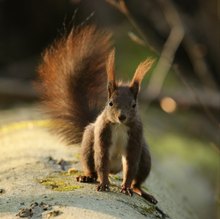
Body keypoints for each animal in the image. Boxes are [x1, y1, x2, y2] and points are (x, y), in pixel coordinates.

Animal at [38, 25, 157, 205]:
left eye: (134, 105)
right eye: (110, 103)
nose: (122, 117)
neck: (119, 126)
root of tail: (114, 169)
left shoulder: (136, 135)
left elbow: (130, 165)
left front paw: (126, 187)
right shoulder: (102, 133)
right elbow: (101, 160)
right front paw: (104, 184)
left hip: (145, 157)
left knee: (137, 179)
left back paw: (140, 191)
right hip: (88, 144)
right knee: (93, 167)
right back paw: (87, 177)